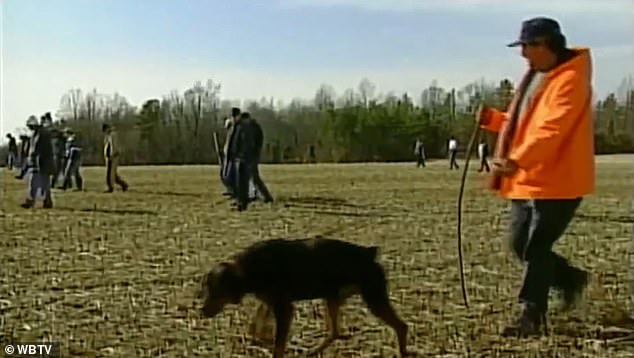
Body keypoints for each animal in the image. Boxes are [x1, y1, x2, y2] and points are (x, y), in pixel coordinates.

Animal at [199, 238, 410, 358]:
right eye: (207, 288)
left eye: (217, 291)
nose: (202, 312)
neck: (248, 268)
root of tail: (369, 253)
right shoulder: (272, 303)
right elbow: (258, 323)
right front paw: (258, 339)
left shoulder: (284, 308)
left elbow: (277, 346)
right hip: (332, 298)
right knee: (335, 332)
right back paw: (312, 351)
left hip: (373, 298)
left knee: (402, 326)